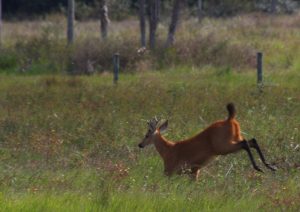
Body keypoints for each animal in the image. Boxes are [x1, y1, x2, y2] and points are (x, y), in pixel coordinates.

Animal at [137, 103, 276, 180]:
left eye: (147, 135)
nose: (140, 144)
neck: (167, 150)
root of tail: (230, 119)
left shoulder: (169, 171)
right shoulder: (195, 170)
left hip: (222, 146)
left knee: (246, 143)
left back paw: (259, 167)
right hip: (235, 137)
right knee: (252, 140)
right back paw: (269, 166)